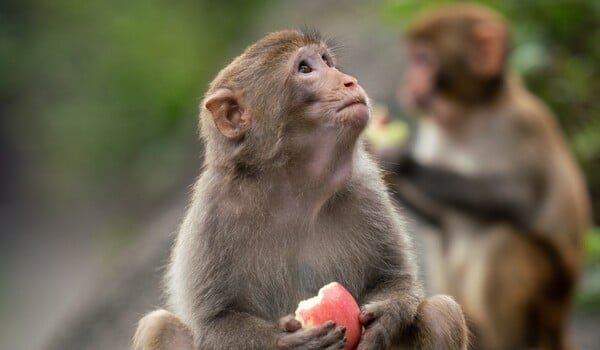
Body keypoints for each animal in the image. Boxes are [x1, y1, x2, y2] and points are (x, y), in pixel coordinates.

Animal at [131, 30, 468, 350]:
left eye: (326, 61)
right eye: (304, 68)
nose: (349, 81)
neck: (293, 190)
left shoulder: (365, 188)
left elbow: (396, 278)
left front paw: (382, 319)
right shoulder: (212, 212)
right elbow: (215, 321)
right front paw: (282, 341)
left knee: (441, 311)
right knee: (158, 326)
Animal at [376, 4, 592, 350]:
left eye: (423, 59)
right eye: (413, 57)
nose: (409, 81)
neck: (468, 114)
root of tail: (559, 322)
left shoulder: (520, 124)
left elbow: (517, 198)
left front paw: (400, 160)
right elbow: (439, 219)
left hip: (551, 295)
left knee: (502, 238)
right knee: (445, 236)